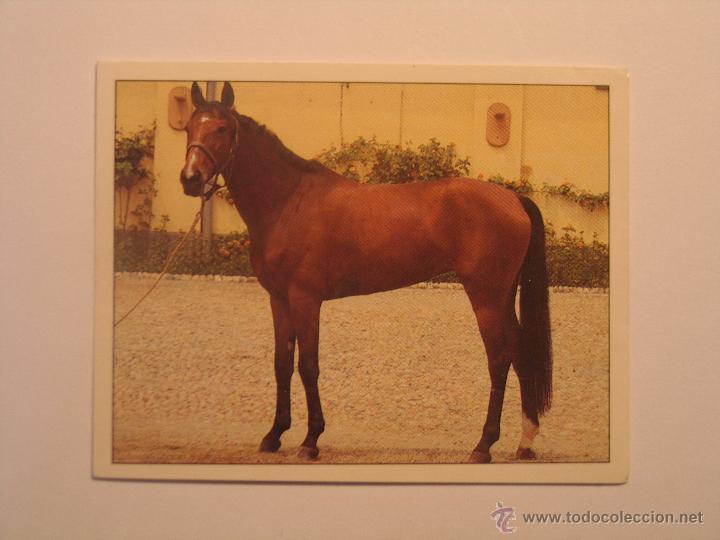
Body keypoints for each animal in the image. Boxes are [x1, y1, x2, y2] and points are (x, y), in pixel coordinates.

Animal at [179, 81, 552, 463]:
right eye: (188, 127)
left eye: (222, 128)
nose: (190, 179)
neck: (288, 201)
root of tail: (513, 198)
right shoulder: (279, 299)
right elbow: (282, 364)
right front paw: (274, 435)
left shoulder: (305, 299)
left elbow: (307, 366)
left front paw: (311, 440)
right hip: (503, 296)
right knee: (521, 352)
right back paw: (524, 442)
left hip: (486, 296)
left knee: (499, 359)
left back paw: (483, 445)